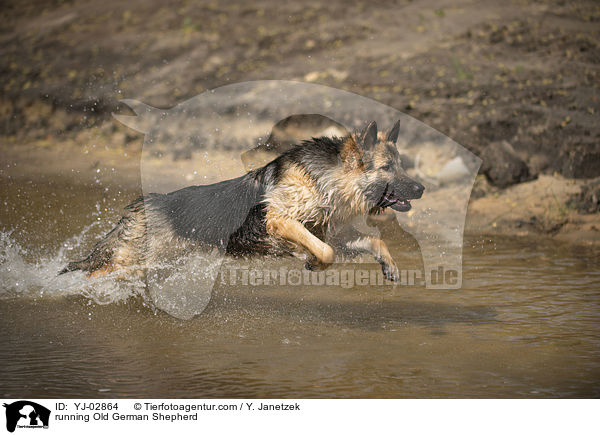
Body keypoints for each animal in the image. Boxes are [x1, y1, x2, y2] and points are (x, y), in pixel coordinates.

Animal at [61, 121, 424, 282]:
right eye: (388, 168)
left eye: (401, 164)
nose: (421, 188)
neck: (326, 179)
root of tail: (142, 204)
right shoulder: (281, 220)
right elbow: (326, 251)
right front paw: (315, 263)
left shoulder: (329, 232)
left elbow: (372, 241)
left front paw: (389, 265)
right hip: (137, 260)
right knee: (99, 271)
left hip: (159, 262)